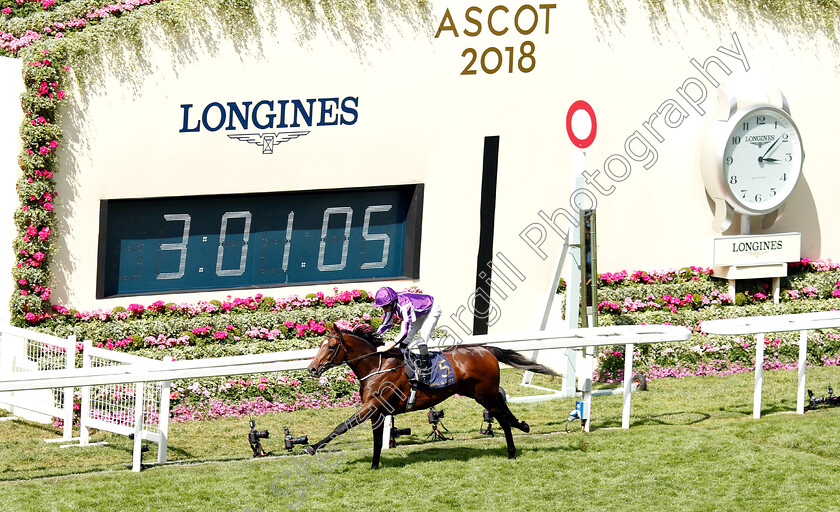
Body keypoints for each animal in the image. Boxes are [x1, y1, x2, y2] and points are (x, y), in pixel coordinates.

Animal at [306, 324, 560, 468]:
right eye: (320, 345)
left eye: (330, 347)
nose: (312, 369)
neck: (377, 366)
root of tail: (485, 349)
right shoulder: (377, 411)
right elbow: (377, 441)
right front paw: (374, 466)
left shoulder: (371, 406)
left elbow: (342, 426)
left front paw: (313, 447)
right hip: (482, 393)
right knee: (505, 411)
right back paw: (523, 426)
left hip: (484, 395)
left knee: (502, 419)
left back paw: (512, 452)